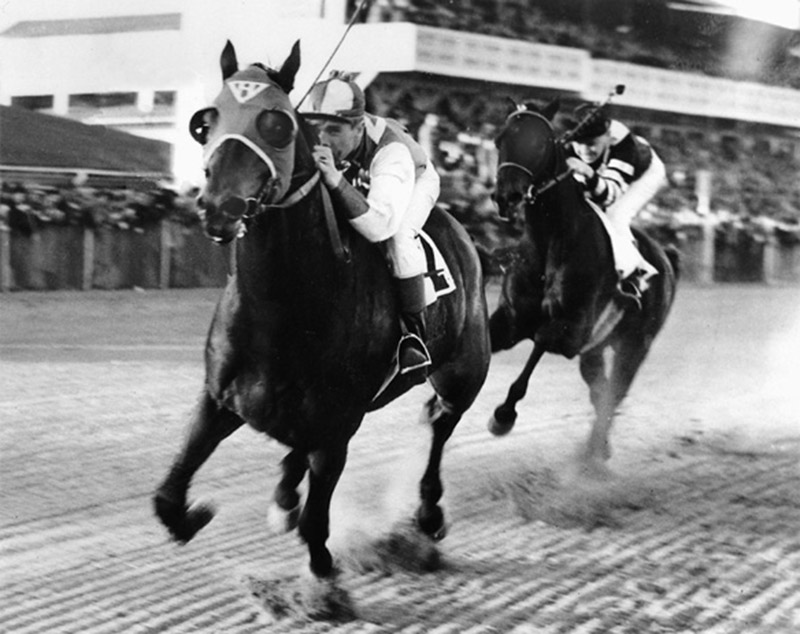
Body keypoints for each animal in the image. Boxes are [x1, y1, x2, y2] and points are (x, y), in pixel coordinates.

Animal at [150, 42, 488, 616]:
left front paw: (324, 587)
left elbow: (317, 521)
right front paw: (196, 515)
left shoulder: (336, 427)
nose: (219, 207)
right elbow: (168, 494)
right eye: (206, 121)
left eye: (278, 124)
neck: (285, 309)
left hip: (462, 373)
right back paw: (285, 495)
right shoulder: (220, 398)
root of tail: (462, 228)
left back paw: (428, 516)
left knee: (441, 422)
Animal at [490, 99, 680, 464]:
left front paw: (503, 415)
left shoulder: (571, 331)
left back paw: (595, 453)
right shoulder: (510, 319)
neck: (551, 243)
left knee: (616, 391)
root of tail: (667, 256)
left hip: (636, 343)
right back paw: (598, 447)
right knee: (600, 389)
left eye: (541, 143)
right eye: (499, 139)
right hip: (597, 347)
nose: (508, 196)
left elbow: (539, 344)